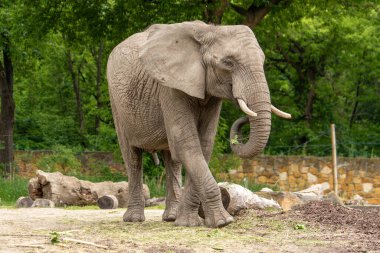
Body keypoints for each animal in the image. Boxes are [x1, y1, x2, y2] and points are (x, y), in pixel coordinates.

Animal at [105, 20, 290, 228]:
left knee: (172, 160)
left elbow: (203, 145)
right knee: (132, 156)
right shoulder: (170, 87)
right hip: (116, 102)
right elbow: (188, 144)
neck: (209, 31)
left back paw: (171, 217)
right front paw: (223, 222)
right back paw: (134, 219)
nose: (244, 118)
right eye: (228, 62)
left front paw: (188, 222)